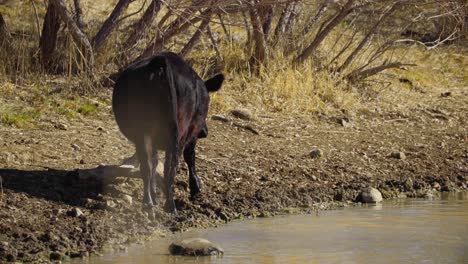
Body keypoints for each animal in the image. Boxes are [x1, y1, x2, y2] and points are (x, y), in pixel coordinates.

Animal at [112, 51, 224, 212]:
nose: (205, 132)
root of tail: (160, 62)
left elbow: (153, 162)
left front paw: (154, 194)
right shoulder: (191, 133)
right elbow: (190, 157)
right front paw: (196, 188)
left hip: (142, 131)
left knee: (147, 165)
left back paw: (148, 202)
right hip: (178, 132)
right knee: (170, 168)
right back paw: (170, 205)